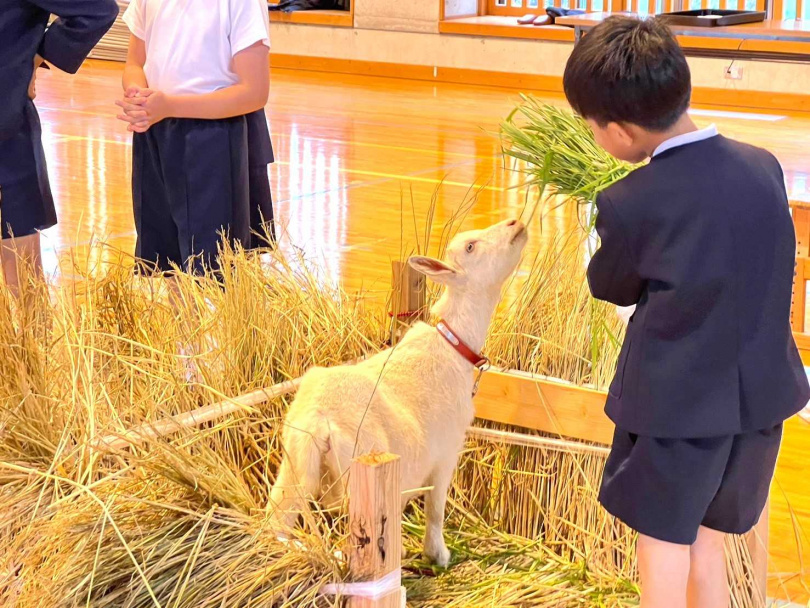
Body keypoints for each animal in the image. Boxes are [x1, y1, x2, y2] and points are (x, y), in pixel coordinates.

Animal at [268, 218, 528, 564]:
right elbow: (435, 510)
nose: (516, 223)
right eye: (471, 247)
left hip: (293, 469)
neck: (453, 344)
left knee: (276, 522)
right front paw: (437, 554)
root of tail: (318, 421)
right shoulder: (446, 454)